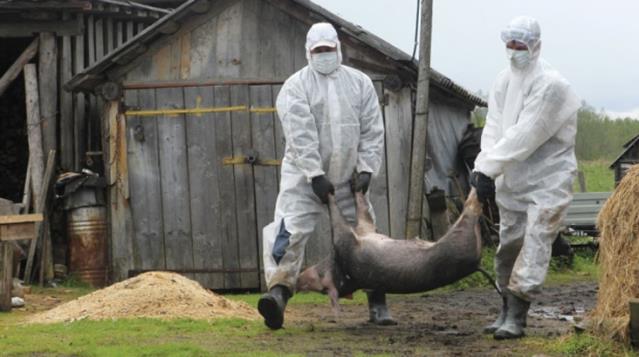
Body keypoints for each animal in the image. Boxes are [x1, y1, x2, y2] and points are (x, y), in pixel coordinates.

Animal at [298, 188, 482, 312]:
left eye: (313, 282)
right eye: (320, 286)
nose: (298, 281)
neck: (342, 270)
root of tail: (476, 263)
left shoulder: (365, 232)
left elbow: (365, 216)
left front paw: (356, 182)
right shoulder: (348, 244)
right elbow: (340, 223)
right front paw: (327, 191)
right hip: (459, 238)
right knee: (470, 208)